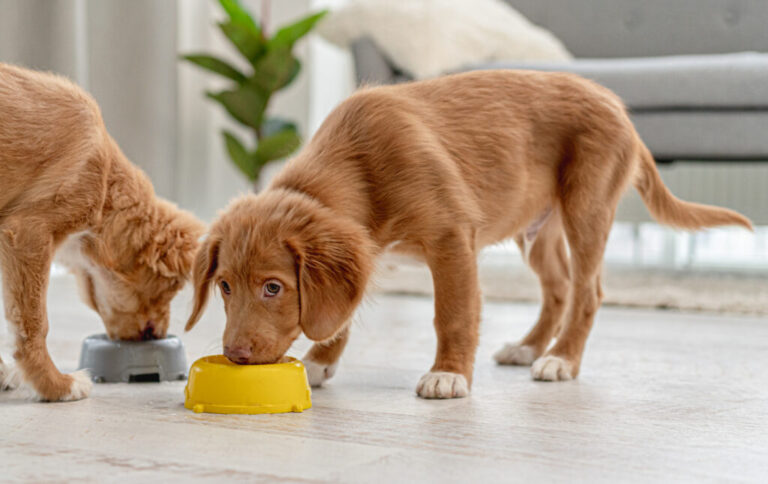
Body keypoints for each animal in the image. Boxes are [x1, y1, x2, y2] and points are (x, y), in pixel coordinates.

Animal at [0, 61, 204, 400]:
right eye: (171, 288)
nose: (159, 334)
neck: (107, 176)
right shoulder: (29, 232)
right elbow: (35, 323)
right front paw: (57, 385)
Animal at [186, 70, 752, 398]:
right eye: (225, 287)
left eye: (273, 287)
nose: (234, 356)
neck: (357, 164)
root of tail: (617, 105)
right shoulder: (368, 253)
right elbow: (340, 314)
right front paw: (321, 363)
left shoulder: (451, 238)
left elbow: (453, 314)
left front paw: (449, 374)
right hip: (536, 230)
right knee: (559, 288)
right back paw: (528, 347)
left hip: (587, 208)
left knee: (587, 291)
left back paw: (560, 359)